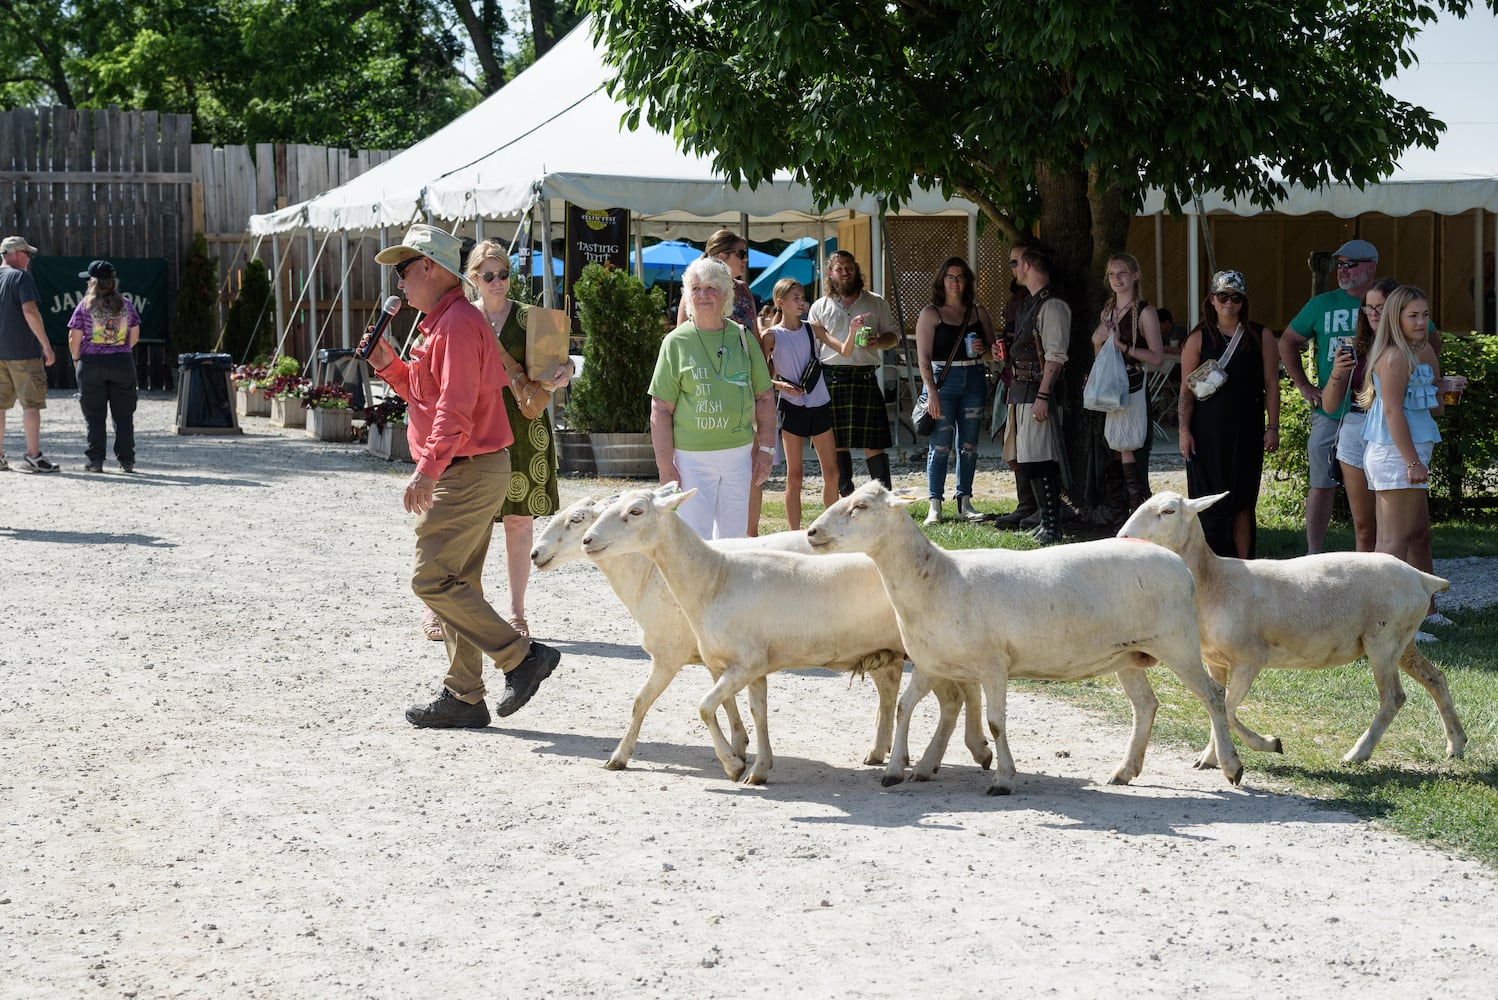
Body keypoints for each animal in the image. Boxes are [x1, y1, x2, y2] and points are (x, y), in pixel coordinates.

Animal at [542, 485, 994, 778]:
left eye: (635, 512)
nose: (587, 540)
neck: (714, 576)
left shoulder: (687, 657)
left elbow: (672, 704)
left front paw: (727, 763)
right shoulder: (740, 663)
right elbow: (748, 710)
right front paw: (754, 761)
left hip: (928, 648)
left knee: (956, 696)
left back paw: (952, 755)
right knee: (937, 693)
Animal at [802, 482, 1246, 796]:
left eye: (860, 507)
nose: (811, 532)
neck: (937, 578)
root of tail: (1179, 565)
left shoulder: (993, 664)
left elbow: (996, 723)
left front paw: (1003, 779)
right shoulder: (931, 662)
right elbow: (904, 708)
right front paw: (895, 770)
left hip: (1177, 640)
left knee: (1212, 694)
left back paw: (1231, 767)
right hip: (1129, 653)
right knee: (1146, 705)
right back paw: (1125, 771)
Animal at [1126, 491, 1462, 766]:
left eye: (1168, 511)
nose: (1125, 536)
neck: (1214, 581)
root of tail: (1422, 578)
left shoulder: (1250, 658)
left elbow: (1228, 708)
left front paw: (1269, 744)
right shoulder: (1214, 661)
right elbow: (1216, 707)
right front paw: (1211, 757)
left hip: (1384, 639)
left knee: (1393, 697)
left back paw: (1357, 754)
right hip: (1402, 640)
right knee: (1436, 678)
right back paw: (1456, 744)